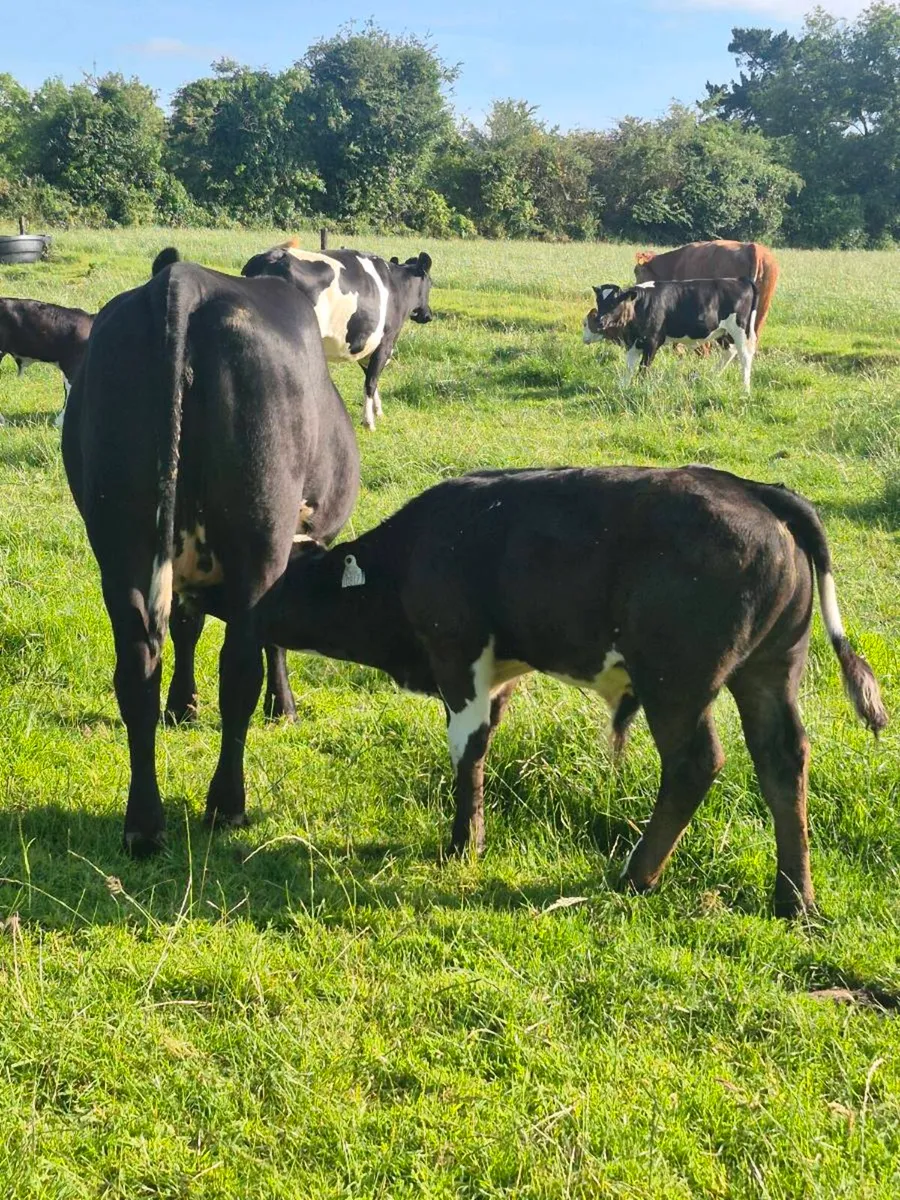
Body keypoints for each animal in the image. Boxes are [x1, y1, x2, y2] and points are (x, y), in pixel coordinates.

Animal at [62, 258, 360, 855]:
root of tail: (183, 279)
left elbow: (185, 627)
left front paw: (182, 706)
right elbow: (267, 641)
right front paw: (282, 708)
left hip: (121, 546)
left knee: (137, 668)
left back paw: (144, 823)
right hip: (258, 545)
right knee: (239, 669)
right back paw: (227, 805)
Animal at [241, 243, 434, 431]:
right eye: (431, 283)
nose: (428, 315)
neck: (397, 287)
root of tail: (273, 256)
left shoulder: (365, 345)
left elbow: (371, 377)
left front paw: (378, 411)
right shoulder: (385, 343)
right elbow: (371, 381)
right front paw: (369, 422)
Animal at [258, 465, 886, 917]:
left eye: (294, 578)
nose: (256, 609)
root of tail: (754, 490)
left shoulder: (457, 656)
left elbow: (467, 752)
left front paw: (461, 846)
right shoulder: (500, 670)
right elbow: (484, 745)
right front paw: (472, 839)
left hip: (676, 682)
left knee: (696, 763)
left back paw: (637, 875)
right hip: (770, 669)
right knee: (782, 761)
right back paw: (794, 898)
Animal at [583, 278, 758, 391]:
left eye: (615, 302)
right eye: (599, 301)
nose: (600, 321)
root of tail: (741, 280)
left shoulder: (653, 341)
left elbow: (643, 368)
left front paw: (640, 387)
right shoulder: (633, 342)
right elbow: (629, 368)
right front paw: (623, 387)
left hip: (741, 329)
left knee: (745, 356)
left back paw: (745, 388)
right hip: (722, 331)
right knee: (730, 351)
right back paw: (711, 376)